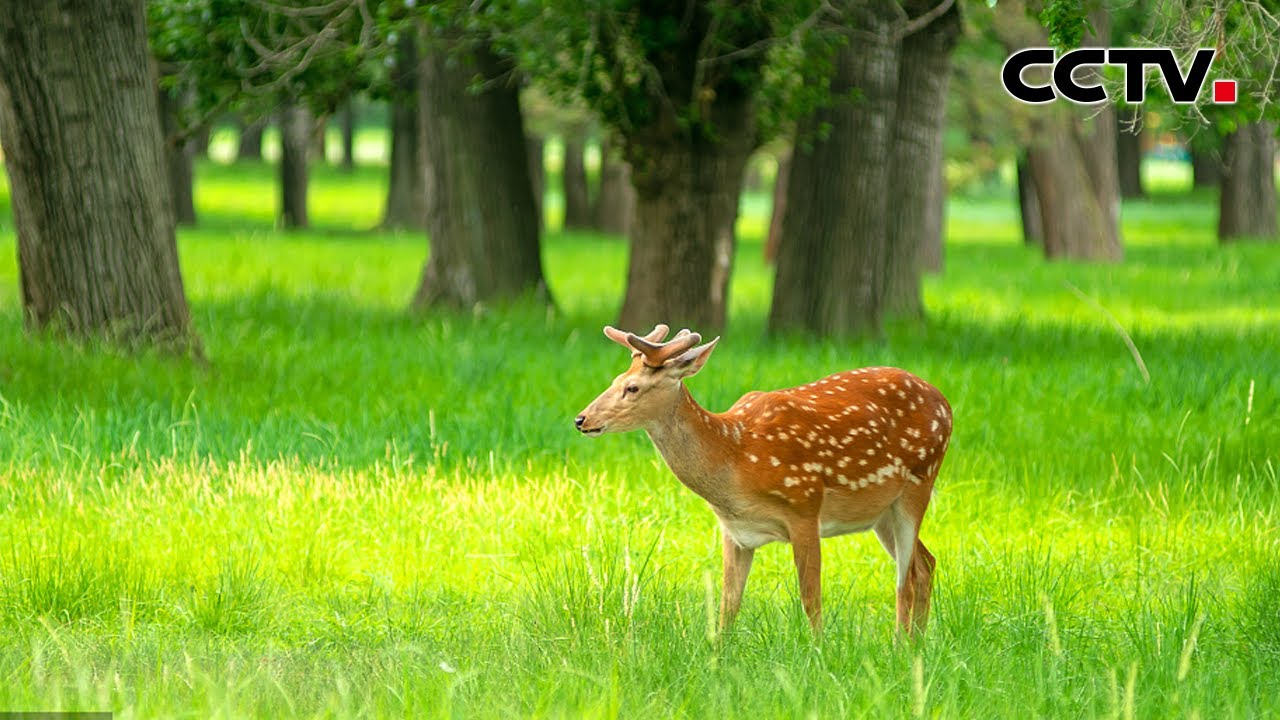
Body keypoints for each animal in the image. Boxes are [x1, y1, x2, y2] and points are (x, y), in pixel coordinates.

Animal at [578, 324, 952, 632]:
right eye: (613, 381)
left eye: (632, 387)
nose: (581, 419)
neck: (735, 457)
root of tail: (946, 404)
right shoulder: (735, 531)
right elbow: (728, 605)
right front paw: (717, 660)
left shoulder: (805, 507)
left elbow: (810, 597)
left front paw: (819, 653)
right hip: (881, 512)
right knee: (925, 564)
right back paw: (916, 644)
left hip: (920, 480)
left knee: (905, 578)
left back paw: (901, 646)